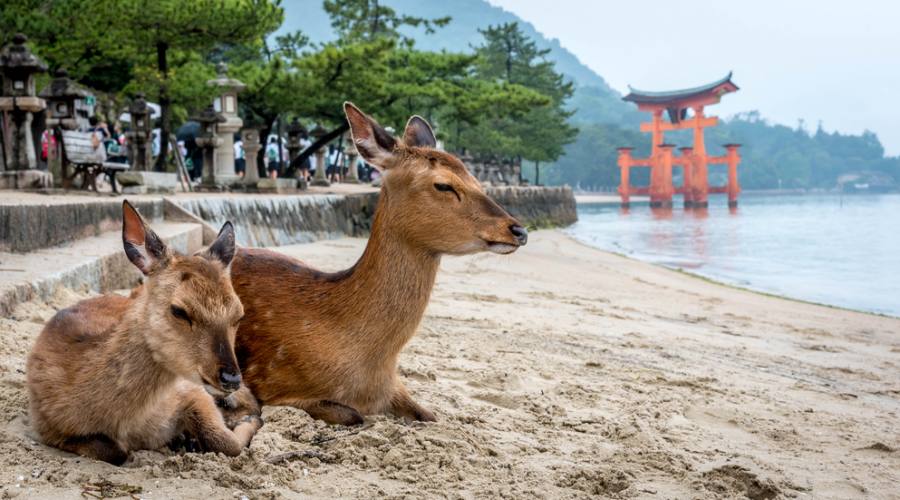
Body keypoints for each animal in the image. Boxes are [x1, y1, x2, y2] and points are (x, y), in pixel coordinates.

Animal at [27, 199, 260, 464]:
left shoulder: (192, 391)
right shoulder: (47, 427)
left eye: (239, 314)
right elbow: (117, 452)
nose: (231, 377)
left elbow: (230, 444)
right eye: (179, 310)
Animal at [230, 102, 528, 426]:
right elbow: (353, 416)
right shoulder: (272, 383)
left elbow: (431, 415)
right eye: (443, 185)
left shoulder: (394, 388)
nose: (518, 230)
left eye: (477, 180)